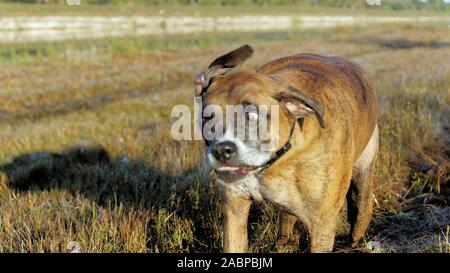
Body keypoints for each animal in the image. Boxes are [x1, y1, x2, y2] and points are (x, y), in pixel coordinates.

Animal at [195, 44, 378, 251]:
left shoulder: (322, 225)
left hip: (362, 187)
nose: (222, 150)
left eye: (251, 116)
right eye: (207, 118)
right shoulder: (235, 210)